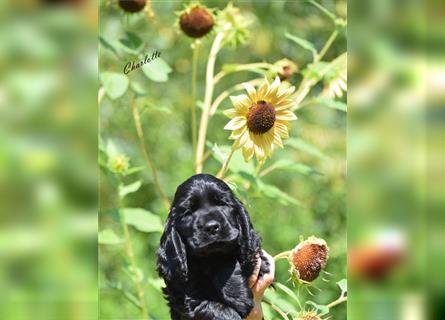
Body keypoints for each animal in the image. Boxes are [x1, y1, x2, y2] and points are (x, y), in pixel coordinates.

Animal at [158, 175, 268, 320]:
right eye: (188, 212)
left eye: (222, 204)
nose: (211, 227)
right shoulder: (184, 292)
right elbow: (215, 308)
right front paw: (238, 301)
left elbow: (226, 259)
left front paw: (238, 295)